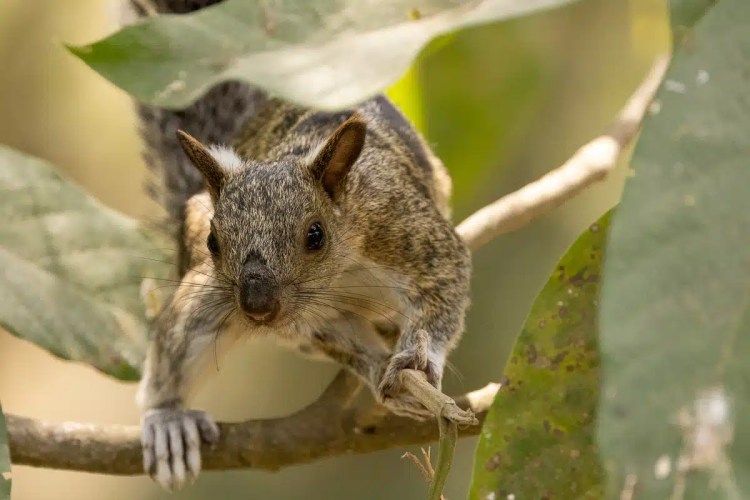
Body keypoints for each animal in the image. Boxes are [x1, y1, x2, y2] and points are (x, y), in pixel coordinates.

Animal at [127, 0, 471, 491]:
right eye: (213, 241)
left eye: (315, 235)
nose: (257, 307)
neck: (344, 268)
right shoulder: (310, 320)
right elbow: (338, 339)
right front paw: (377, 370)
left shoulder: (412, 235)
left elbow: (442, 289)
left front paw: (415, 362)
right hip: (204, 296)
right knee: (179, 338)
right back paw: (168, 420)